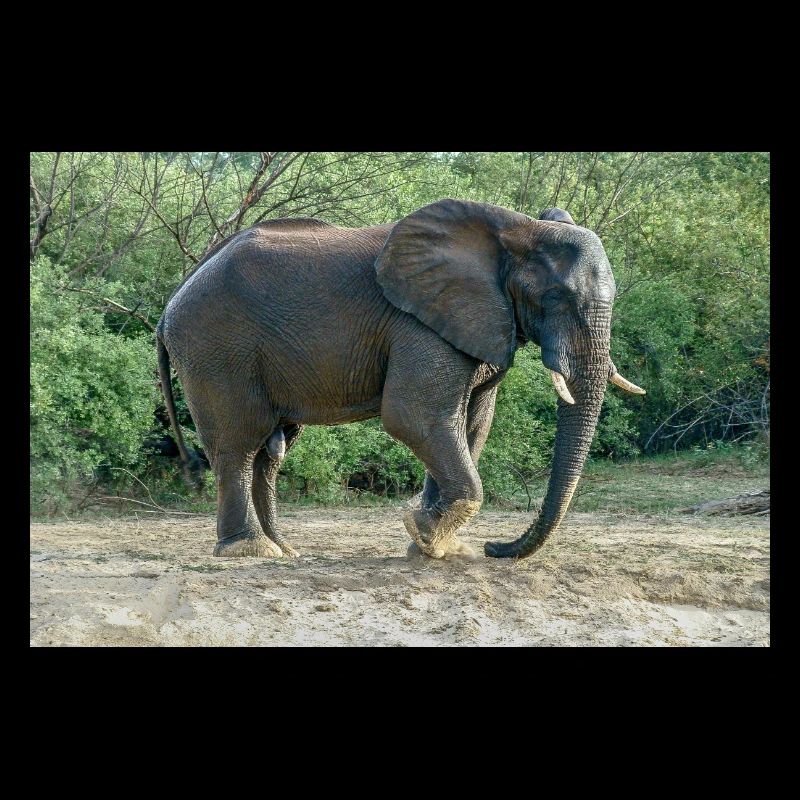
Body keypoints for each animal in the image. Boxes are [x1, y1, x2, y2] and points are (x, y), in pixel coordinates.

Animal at [156, 199, 644, 560]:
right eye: (556, 297)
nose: (495, 547)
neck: (517, 229)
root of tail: (170, 304)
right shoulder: (419, 324)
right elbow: (415, 417)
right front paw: (425, 534)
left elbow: (471, 426)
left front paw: (435, 545)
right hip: (216, 348)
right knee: (239, 442)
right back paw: (250, 551)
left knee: (270, 452)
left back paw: (284, 549)